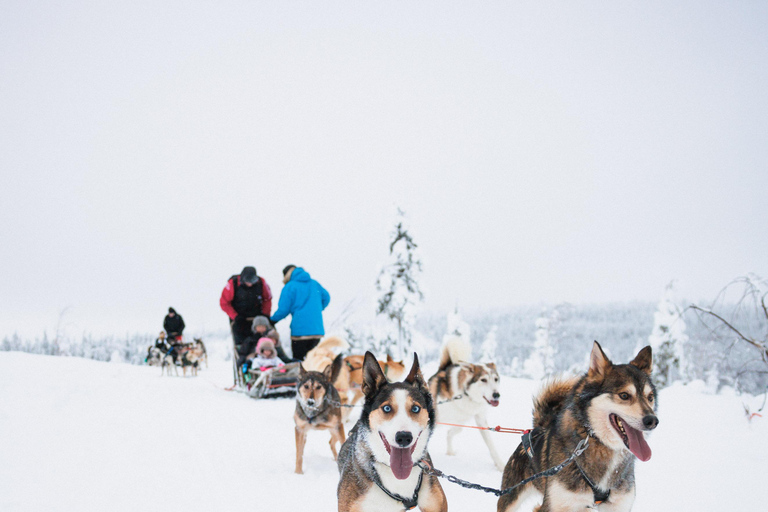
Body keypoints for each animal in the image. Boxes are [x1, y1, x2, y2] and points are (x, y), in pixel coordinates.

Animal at [426, 334, 504, 470]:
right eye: (483, 380)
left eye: (495, 379)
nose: (496, 395)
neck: (465, 394)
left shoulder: (480, 419)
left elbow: (491, 445)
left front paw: (500, 465)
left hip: (460, 421)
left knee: (451, 432)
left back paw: (450, 452)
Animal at [498, 340, 660, 512]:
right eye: (624, 395)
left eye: (650, 397)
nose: (652, 420)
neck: (602, 446)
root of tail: (539, 427)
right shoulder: (553, 505)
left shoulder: (619, 506)